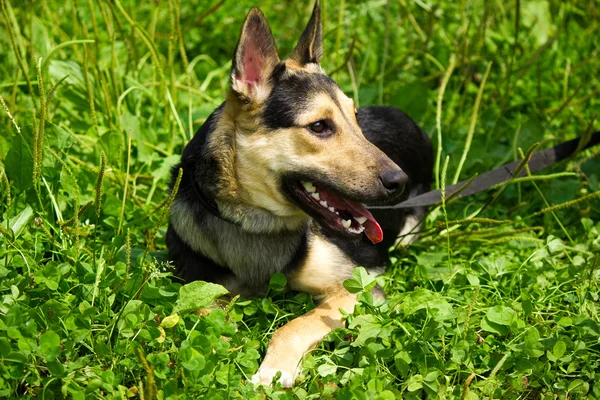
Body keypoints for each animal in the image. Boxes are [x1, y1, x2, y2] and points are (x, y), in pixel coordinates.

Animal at [166, 0, 434, 388]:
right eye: (319, 126)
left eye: (355, 120)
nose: (399, 180)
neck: (257, 224)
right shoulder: (197, 288)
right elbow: (206, 316)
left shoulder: (358, 289)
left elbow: (294, 325)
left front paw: (271, 371)